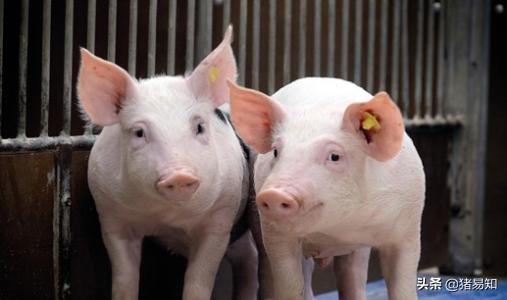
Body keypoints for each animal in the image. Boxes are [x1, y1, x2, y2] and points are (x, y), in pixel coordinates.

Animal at [77, 26, 260, 300]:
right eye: (139, 132)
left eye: (199, 127)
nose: (179, 175)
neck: (168, 219)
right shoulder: (110, 215)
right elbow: (124, 279)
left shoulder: (219, 220)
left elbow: (199, 281)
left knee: (250, 258)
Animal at [228, 78, 426, 300]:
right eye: (276, 152)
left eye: (334, 156)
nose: (274, 194)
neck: (337, 230)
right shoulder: (274, 233)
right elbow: (289, 283)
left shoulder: (408, 226)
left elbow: (403, 283)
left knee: (351, 273)